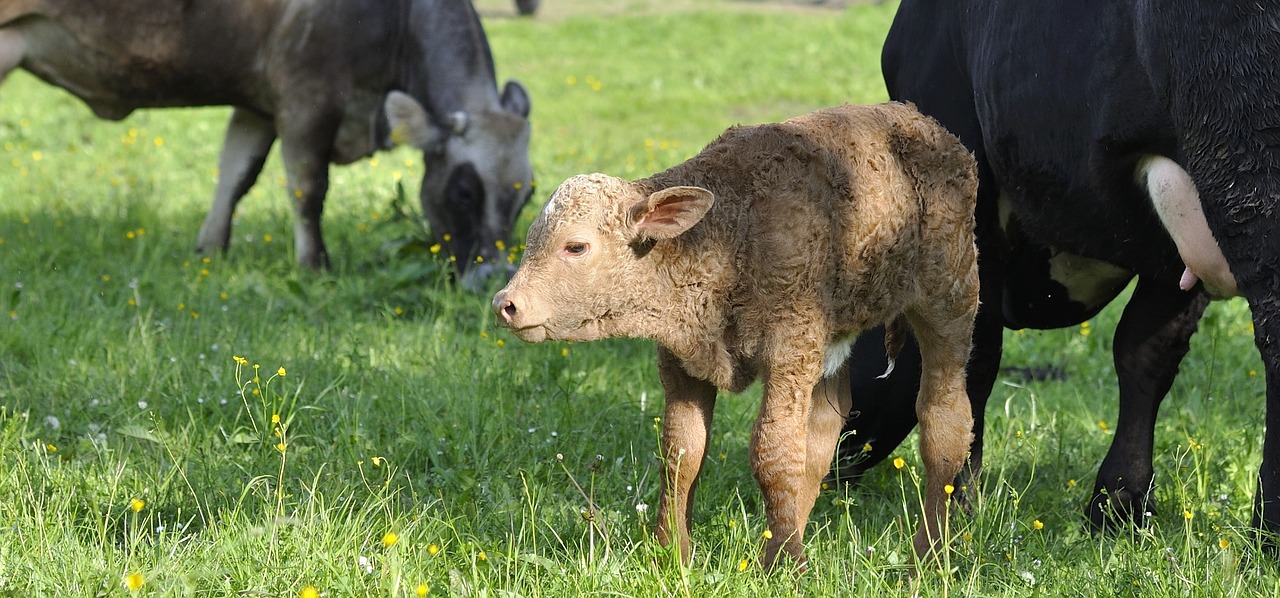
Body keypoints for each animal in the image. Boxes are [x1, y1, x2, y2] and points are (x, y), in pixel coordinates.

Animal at [0, 0, 529, 290]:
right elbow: (307, 188)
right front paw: (315, 266)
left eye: (526, 196)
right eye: (464, 192)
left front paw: (210, 251)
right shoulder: (307, 97)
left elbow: (236, 174)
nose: (492, 278)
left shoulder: (258, 106)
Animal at [491, 104, 977, 571]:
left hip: (950, 301)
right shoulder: (682, 361)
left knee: (945, 421)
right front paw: (672, 552)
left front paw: (783, 564)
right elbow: (682, 451)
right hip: (835, 340)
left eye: (576, 246)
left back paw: (928, 555)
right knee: (825, 429)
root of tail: (930, 128)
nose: (505, 304)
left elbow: (773, 453)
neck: (727, 235)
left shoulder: (789, 352)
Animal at [839, 0, 1280, 537]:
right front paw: (1119, 504)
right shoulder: (1173, 243)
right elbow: (1146, 351)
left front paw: (956, 508)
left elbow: (974, 355)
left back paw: (1268, 529)